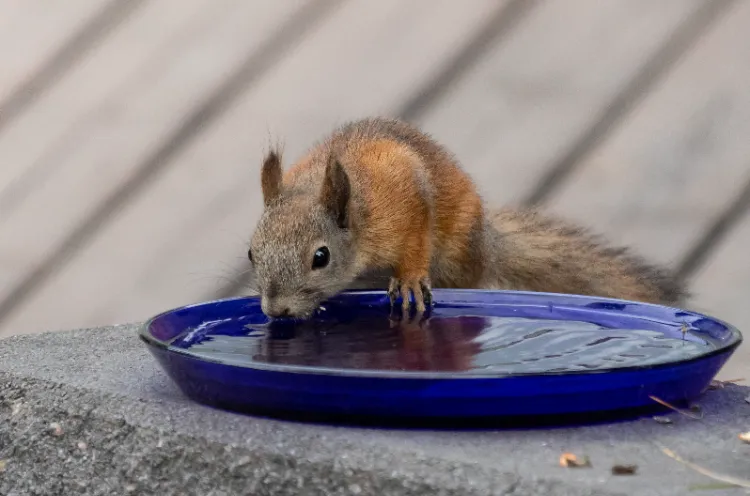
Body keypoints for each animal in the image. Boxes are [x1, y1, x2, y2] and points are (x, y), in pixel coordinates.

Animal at [248, 116, 688, 318]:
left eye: (320, 257)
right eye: (252, 254)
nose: (276, 311)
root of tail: (487, 243)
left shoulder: (405, 194)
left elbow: (416, 236)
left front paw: (409, 279)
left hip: (459, 256)